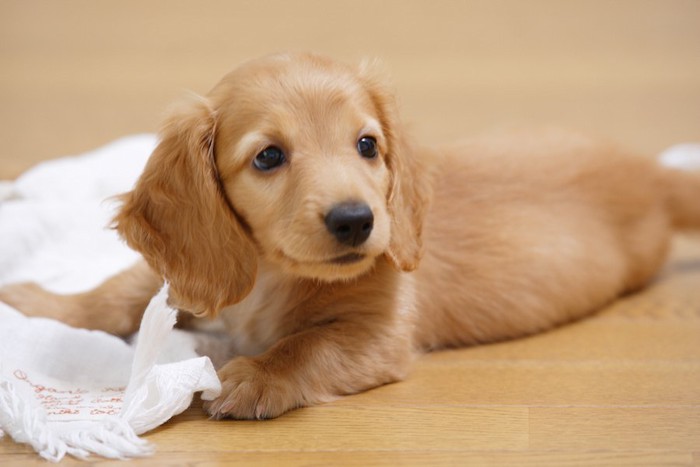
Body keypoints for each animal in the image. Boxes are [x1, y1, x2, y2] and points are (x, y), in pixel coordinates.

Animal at [1, 54, 700, 420]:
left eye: (367, 145)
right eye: (268, 157)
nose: (356, 221)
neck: (273, 274)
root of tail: (653, 173)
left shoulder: (377, 332)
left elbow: (308, 345)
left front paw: (254, 375)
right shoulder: (193, 274)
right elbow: (119, 291)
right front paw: (38, 302)